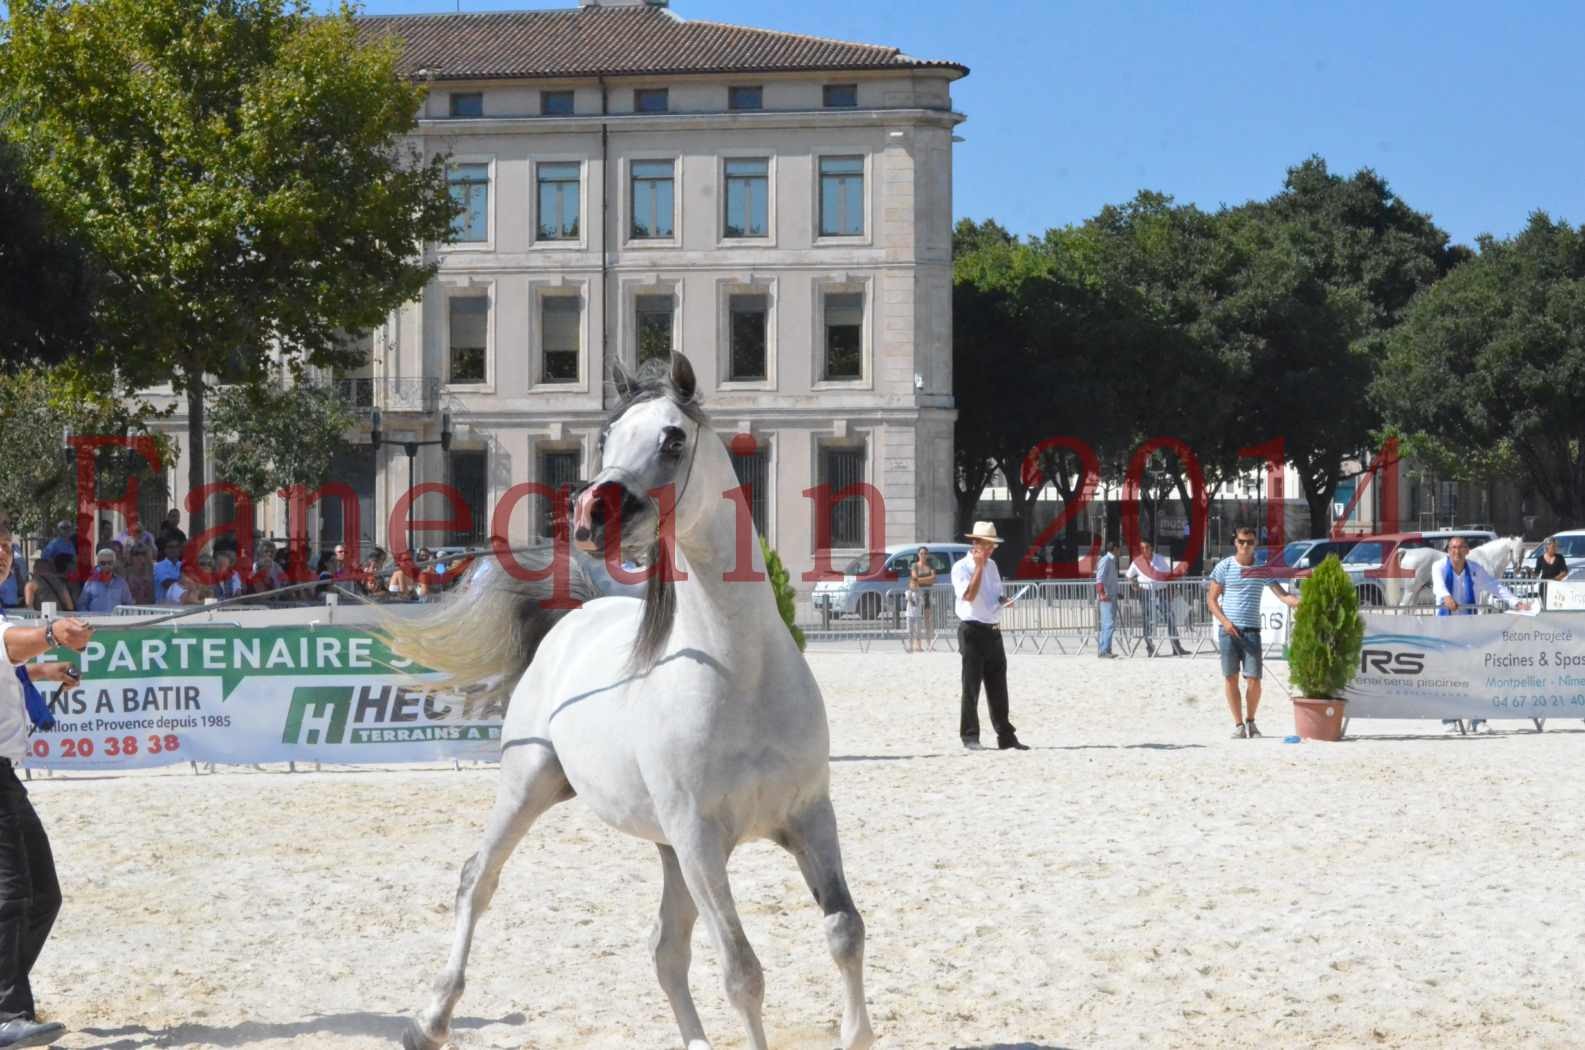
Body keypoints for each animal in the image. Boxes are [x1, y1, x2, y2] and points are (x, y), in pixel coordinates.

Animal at [388, 353, 874, 1050]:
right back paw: (430, 1020)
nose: (592, 515)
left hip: (669, 852)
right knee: (476, 882)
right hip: (529, 788)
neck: (741, 675)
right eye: (606, 437)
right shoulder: (700, 841)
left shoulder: (809, 818)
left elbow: (844, 931)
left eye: (672, 439)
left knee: (665, 951)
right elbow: (742, 973)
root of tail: (577, 616)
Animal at [1394, 539, 1527, 605]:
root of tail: (1407, 551)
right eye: (1511, 550)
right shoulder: (1483, 592)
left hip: (1417, 590)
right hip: (1411, 590)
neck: (1487, 558)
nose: (1517, 567)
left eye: (1523, 550)